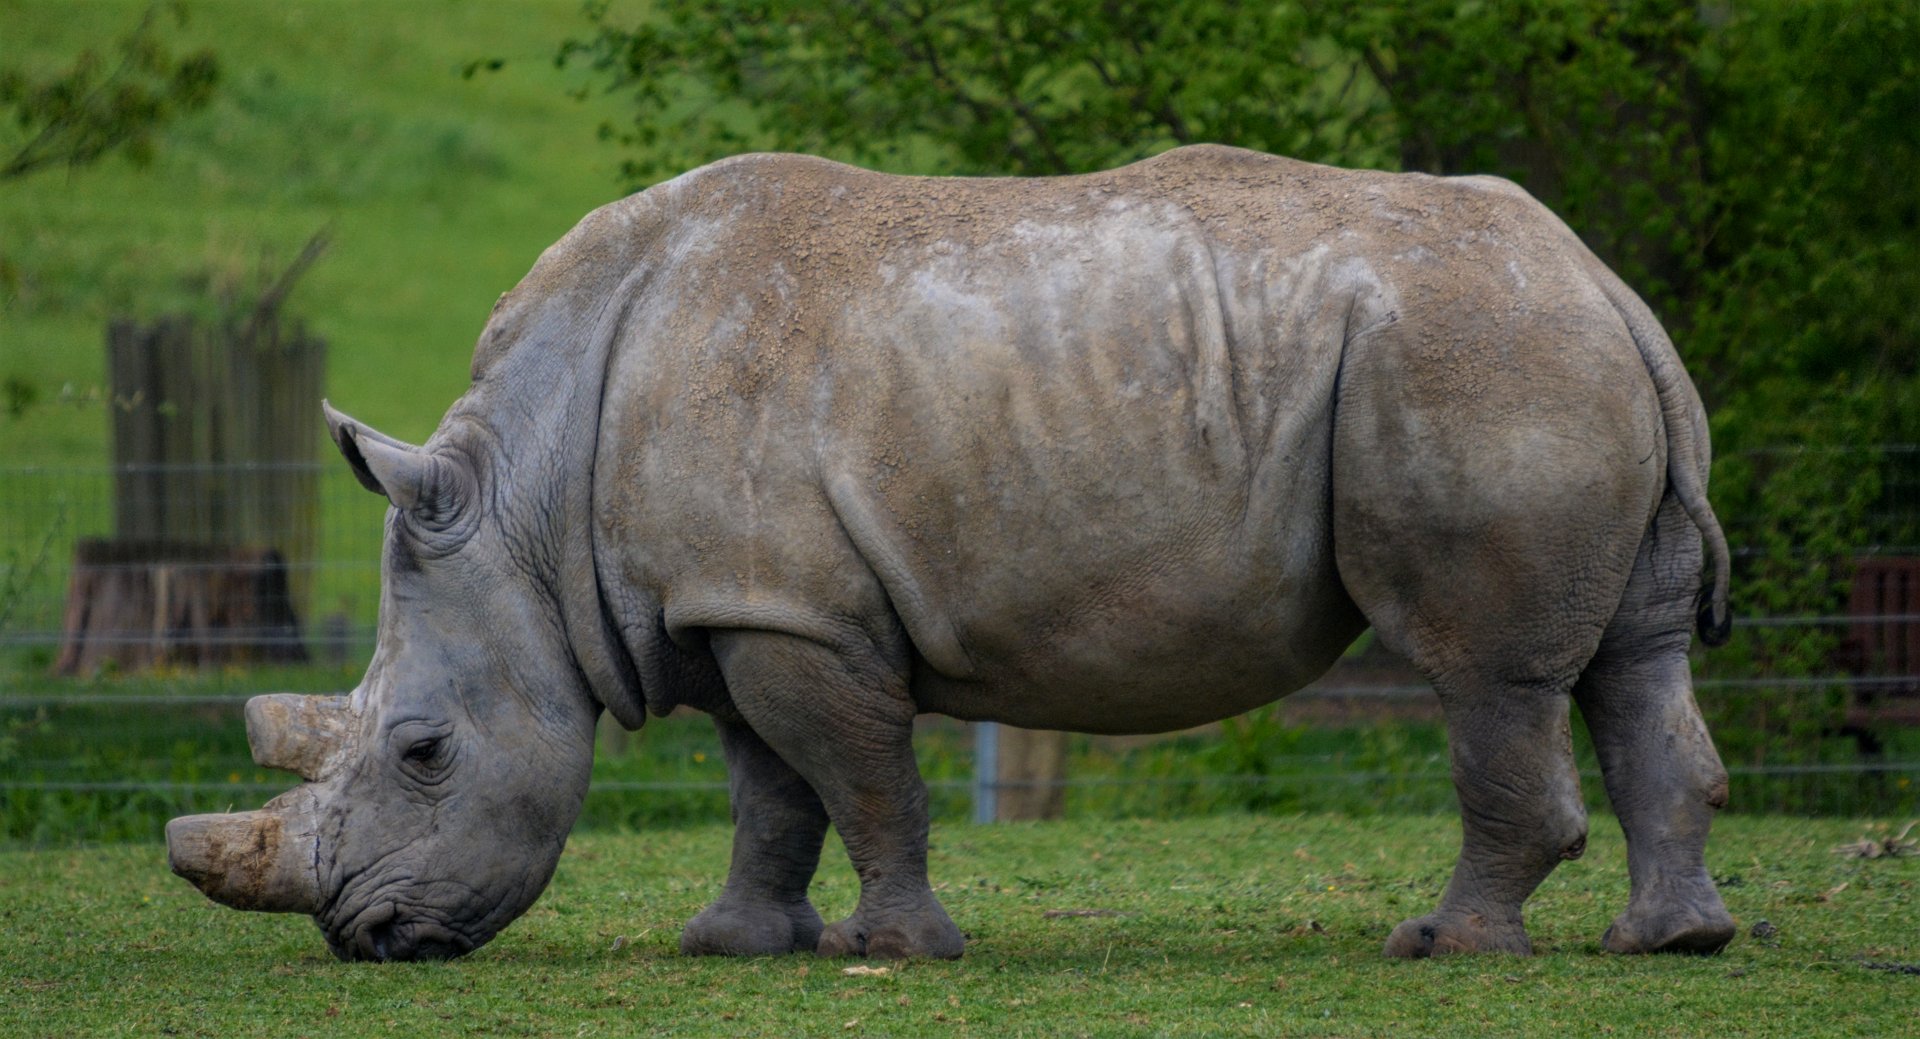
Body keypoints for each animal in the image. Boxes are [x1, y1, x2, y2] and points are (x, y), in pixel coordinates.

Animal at [166, 145, 1737, 962]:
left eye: (423, 750)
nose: (365, 932)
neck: (528, 502)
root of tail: (1606, 279)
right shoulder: (736, 600)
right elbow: (770, 789)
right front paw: (732, 944)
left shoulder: (791, 611)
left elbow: (858, 776)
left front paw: (896, 952)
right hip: (1547, 354)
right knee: (1636, 656)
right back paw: (1670, 943)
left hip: (1478, 365)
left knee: (1486, 672)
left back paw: (1444, 945)